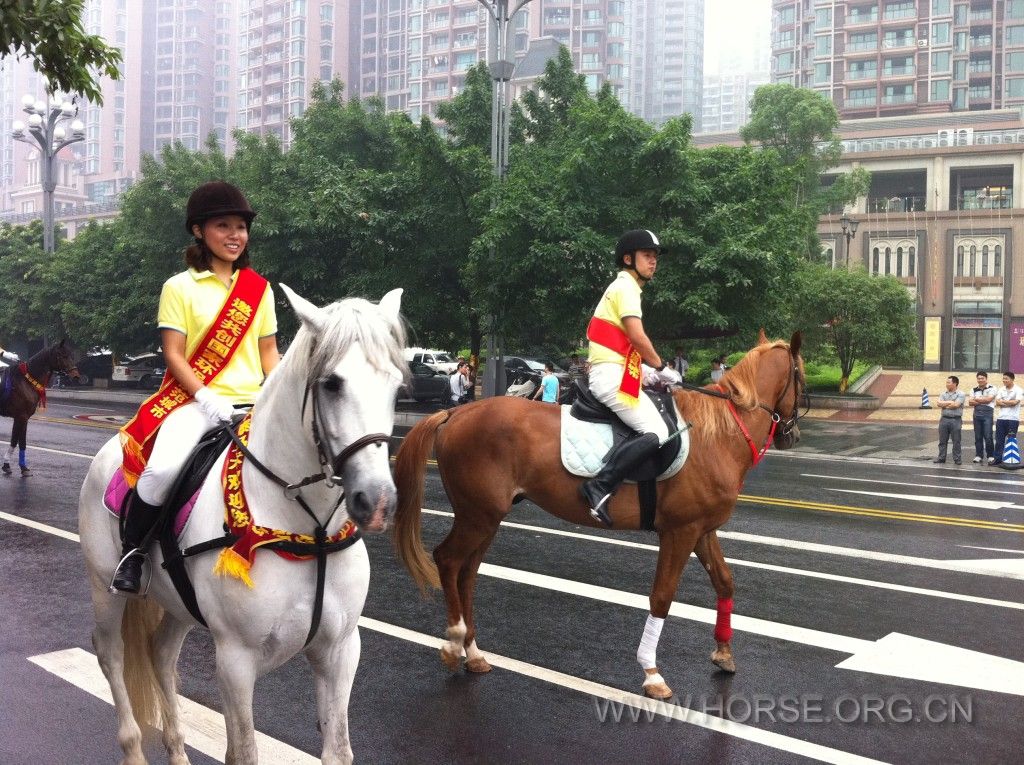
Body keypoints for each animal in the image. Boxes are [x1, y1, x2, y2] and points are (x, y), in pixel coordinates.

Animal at [0, 340, 77, 473]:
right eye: (62, 355)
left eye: (71, 355)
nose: (76, 375)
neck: (26, 382)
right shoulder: (21, 417)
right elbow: (18, 441)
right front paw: (16, 466)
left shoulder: (23, 418)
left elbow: (19, 441)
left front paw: (14, 465)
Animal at [77, 284, 405, 761]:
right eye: (332, 383)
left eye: (396, 385)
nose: (377, 501)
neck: (307, 528)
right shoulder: (236, 657)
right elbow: (245, 750)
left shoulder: (341, 650)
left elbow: (337, 749)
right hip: (104, 586)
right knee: (112, 655)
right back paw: (134, 748)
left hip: (176, 601)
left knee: (161, 655)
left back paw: (177, 751)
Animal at [391, 329, 798, 700]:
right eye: (799, 372)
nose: (790, 436)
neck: (718, 435)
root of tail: (455, 411)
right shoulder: (679, 532)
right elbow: (662, 596)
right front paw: (651, 673)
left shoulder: (702, 530)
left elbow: (725, 583)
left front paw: (724, 653)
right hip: (477, 516)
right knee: (447, 560)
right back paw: (454, 643)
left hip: (485, 518)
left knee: (467, 573)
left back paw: (473, 653)